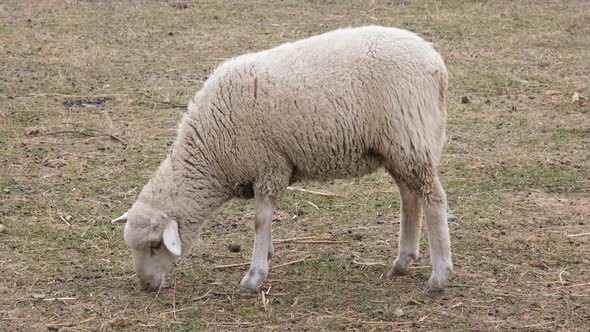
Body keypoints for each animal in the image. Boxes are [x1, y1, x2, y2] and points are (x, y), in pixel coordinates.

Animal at [111, 26, 454, 296]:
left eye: (155, 245)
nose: (144, 285)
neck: (211, 152)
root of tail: (436, 63)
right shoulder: (267, 170)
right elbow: (265, 219)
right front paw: (267, 254)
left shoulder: (269, 166)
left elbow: (260, 220)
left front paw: (253, 277)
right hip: (396, 147)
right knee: (410, 197)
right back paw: (402, 262)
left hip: (410, 137)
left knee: (433, 199)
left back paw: (438, 277)